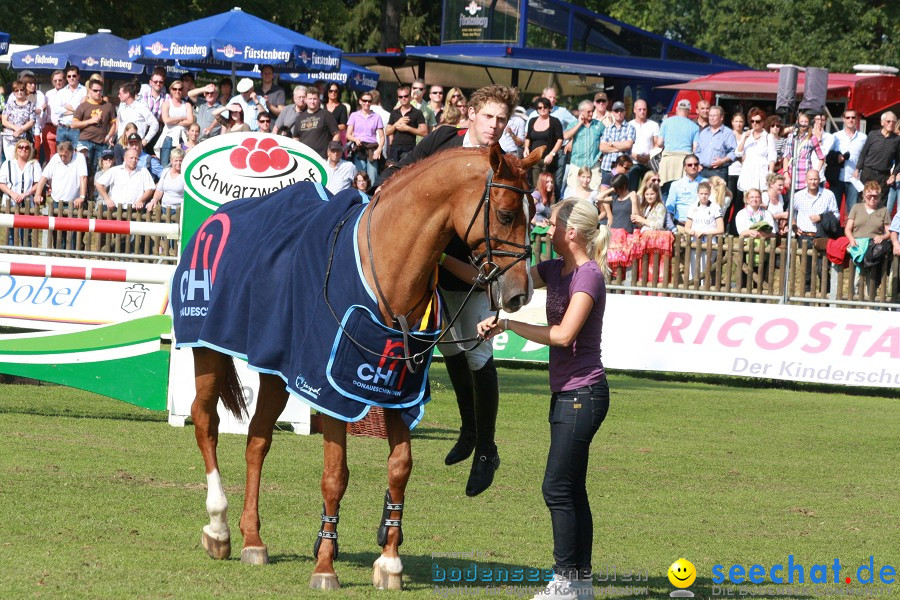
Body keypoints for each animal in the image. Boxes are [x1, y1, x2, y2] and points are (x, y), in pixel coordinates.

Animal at [185, 143, 536, 588]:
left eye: (534, 213)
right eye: (506, 214)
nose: (520, 293)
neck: (386, 267)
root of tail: (216, 216)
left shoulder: (399, 391)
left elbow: (400, 468)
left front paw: (389, 562)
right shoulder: (330, 390)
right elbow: (335, 476)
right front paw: (325, 565)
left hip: (276, 372)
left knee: (257, 440)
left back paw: (253, 540)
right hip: (208, 351)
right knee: (205, 422)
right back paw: (219, 527)